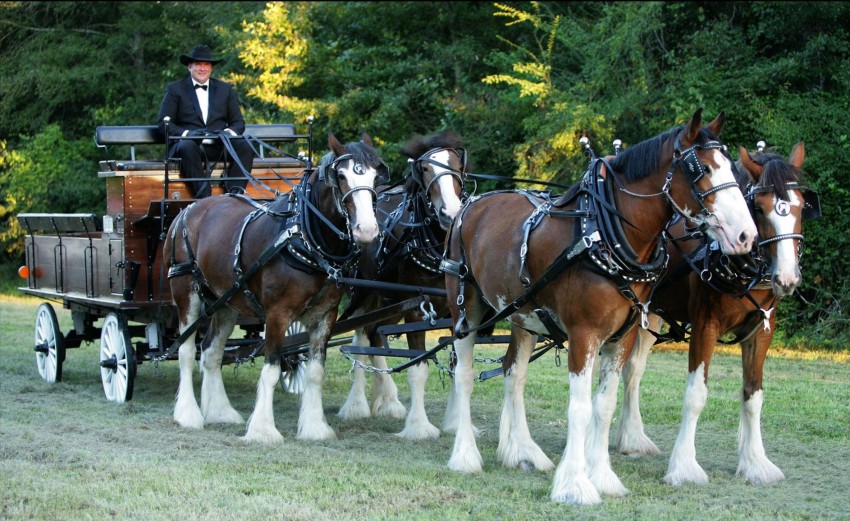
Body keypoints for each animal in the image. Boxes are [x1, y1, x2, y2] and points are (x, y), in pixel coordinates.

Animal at [163, 131, 388, 443]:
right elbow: (270, 369)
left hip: (226, 301)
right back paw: (188, 414)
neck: (305, 238)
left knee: (211, 352)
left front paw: (315, 427)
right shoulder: (277, 314)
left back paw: (219, 411)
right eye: (341, 176)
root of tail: (188, 209)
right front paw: (262, 429)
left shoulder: (325, 315)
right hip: (186, 292)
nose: (366, 230)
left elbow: (316, 371)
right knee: (185, 351)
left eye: (376, 175)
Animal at [335, 130, 468, 441]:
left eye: (457, 165)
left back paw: (388, 400)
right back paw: (356, 404)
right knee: (360, 340)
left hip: (389, 302)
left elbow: (456, 366)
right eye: (425, 168)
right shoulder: (417, 311)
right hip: (363, 295)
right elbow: (417, 368)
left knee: (374, 335)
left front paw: (455, 421)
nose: (450, 213)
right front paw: (419, 426)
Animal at [441, 109, 757, 506]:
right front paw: (575, 484)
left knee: (515, 373)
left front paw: (602, 476)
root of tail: (469, 206)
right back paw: (465, 455)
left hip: (523, 316)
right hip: (465, 310)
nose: (746, 235)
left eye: (731, 167)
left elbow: (604, 406)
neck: (606, 237)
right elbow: (579, 408)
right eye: (701, 170)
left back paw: (523, 451)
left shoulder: (622, 337)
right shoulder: (584, 334)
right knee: (465, 374)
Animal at [616, 141, 818, 485]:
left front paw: (755, 462)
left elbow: (753, 394)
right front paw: (684, 466)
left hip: (651, 314)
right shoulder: (705, 325)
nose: (787, 278)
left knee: (633, 370)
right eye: (760, 209)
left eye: (801, 206)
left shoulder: (761, 330)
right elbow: (696, 394)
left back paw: (632, 438)